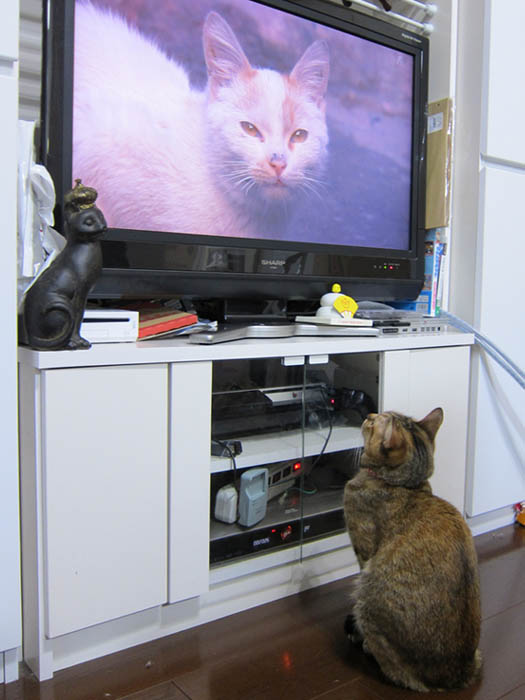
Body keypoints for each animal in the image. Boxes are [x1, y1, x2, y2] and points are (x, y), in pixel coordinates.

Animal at [343, 408, 482, 692]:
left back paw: (367, 646)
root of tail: (457, 676)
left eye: (373, 423)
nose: (370, 413)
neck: (402, 484)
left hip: (366, 595)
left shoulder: (364, 553)